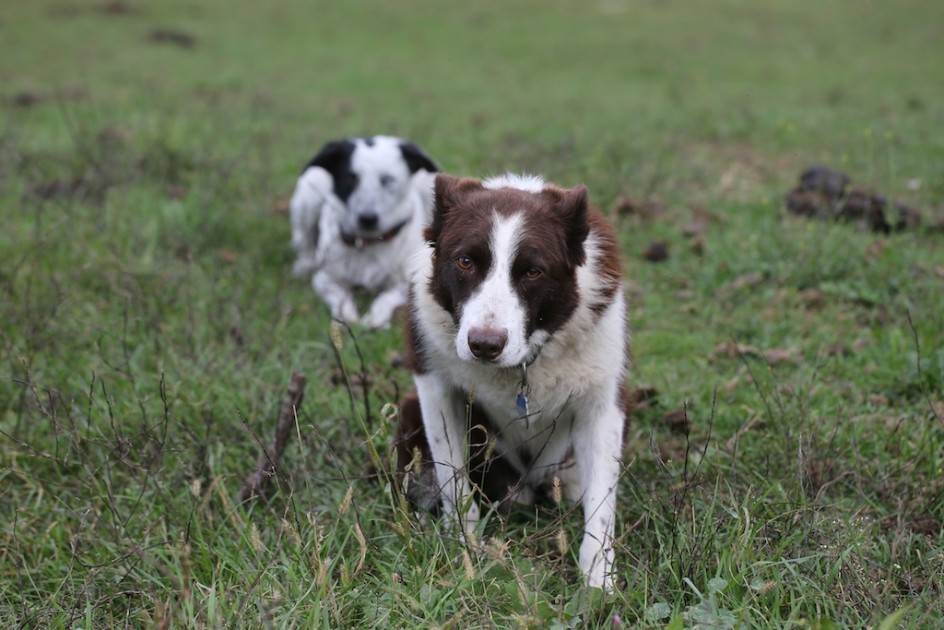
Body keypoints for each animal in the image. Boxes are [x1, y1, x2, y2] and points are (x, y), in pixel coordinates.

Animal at [290, 135, 440, 328]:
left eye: (388, 180)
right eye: (350, 178)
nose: (367, 218)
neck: (369, 242)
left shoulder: (405, 283)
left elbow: (385, 299)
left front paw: (375, 319)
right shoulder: (324, 279)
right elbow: (340, 296)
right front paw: (346, 316)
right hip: (311, 189)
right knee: (305, 240)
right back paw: (304, 264)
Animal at [394, 173, 632, 592]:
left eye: (533, 272)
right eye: (465, 261)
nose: (484, 346)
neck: (523, 363)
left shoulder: (603, 401)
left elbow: (602, 504)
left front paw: (598, 583)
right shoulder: (434, 384)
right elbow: (452, 477)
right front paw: (465, 547)